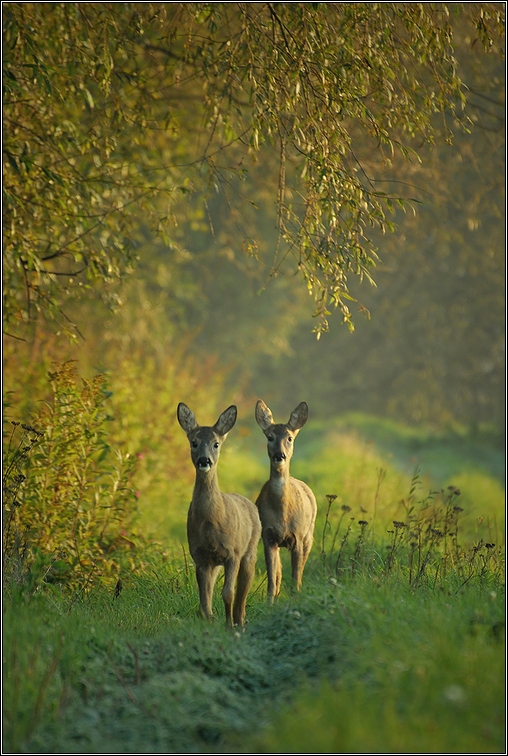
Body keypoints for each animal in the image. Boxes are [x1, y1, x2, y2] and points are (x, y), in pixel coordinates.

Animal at [176, 404, 262, 628]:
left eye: (216, 444)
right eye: (194, 442)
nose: (204, 460)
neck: (211, 520)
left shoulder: (233, 553)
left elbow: (228, 593)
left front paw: (228, 625)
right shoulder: (199, 556)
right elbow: (204, 599)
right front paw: (210, 621)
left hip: (249, 551)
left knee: (243, 591)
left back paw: (239, 620)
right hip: (215, 564)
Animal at [256, 402, 316, 604]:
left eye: (290, 438)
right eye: (270, 437)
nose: (279, 455)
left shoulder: (297, 536)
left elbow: (296, 576)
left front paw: (295, 600)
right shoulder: (267, 536)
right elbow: (272, 578)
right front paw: (269, 603)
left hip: (309, 535)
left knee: (301, 569)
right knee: (279, 572)